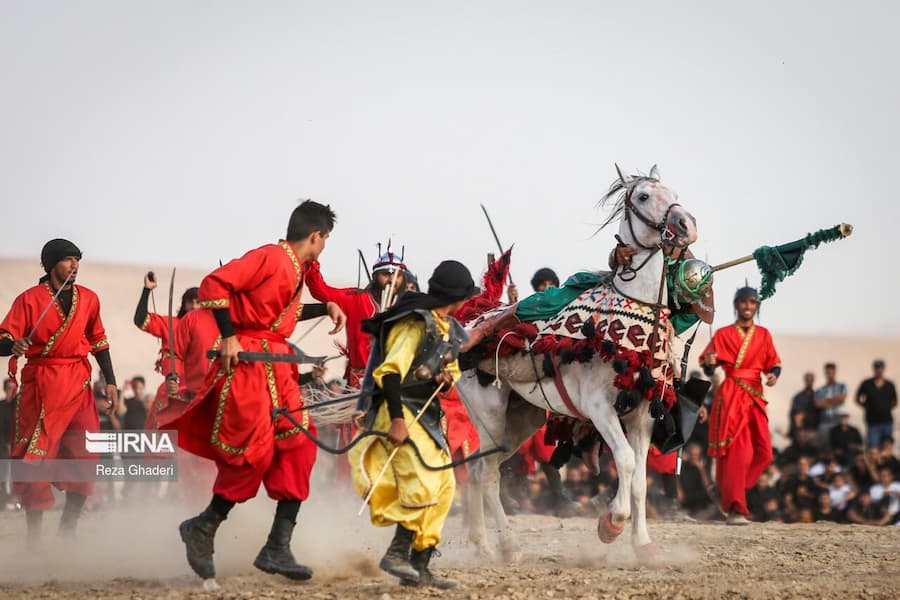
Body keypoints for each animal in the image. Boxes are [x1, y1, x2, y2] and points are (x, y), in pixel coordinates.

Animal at [458, 165, 696, 564]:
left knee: (477, 469)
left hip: (521, 420)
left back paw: (482, 544)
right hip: (488, 413)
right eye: (644, 196)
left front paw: (643, 544)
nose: (686, 225)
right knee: (487, 474)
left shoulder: (643, 415)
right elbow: (626, 462)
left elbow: (640, 479)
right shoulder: (599, 409)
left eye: (676, 193)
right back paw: (509, 546)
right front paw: (611, 525)